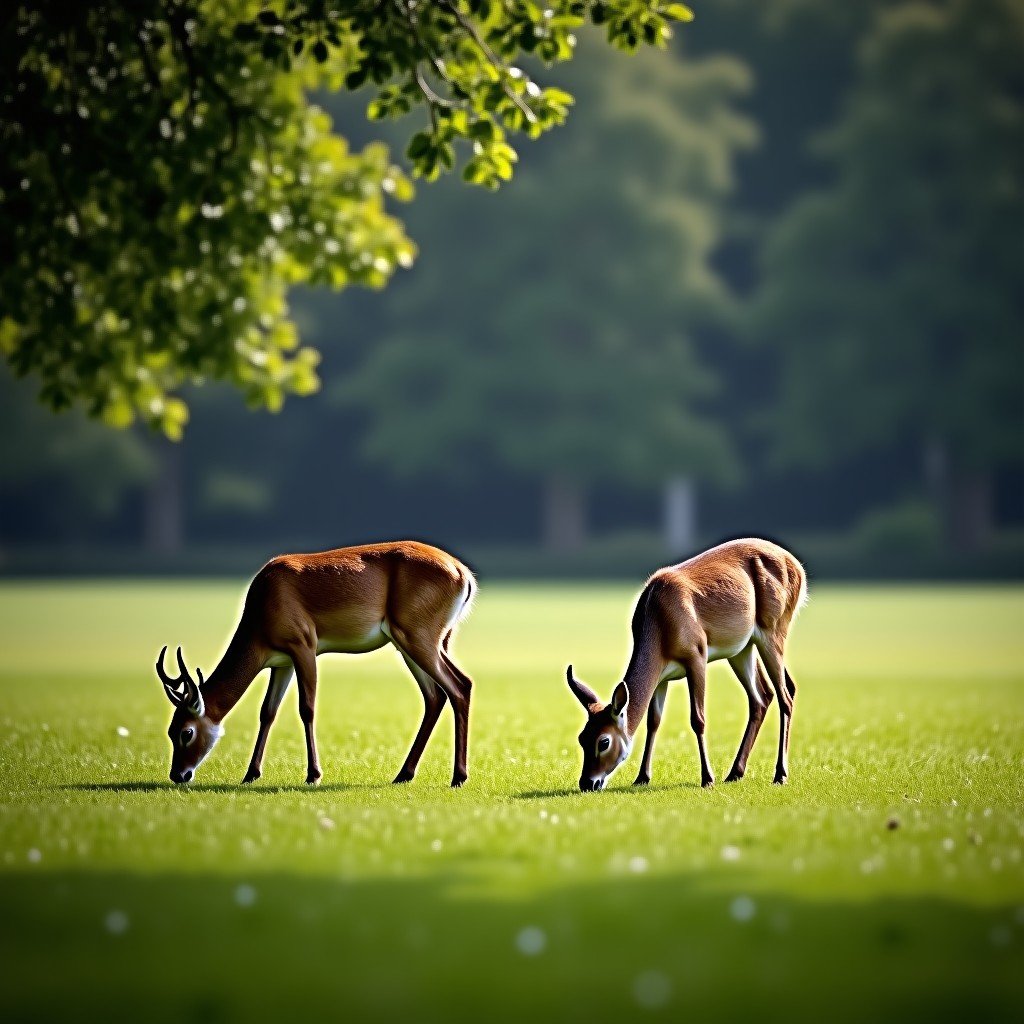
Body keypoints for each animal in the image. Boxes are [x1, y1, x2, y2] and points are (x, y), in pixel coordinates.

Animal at [156, 541, 476, 788]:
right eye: (170, 731)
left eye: (187, 732)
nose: (178, 775)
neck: (265, 600)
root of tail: (461, 571)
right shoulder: (281, 663)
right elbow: (267, 712)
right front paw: (251, 774)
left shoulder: (304, 650)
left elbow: (306, 709)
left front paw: (313, 775)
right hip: (413, 645)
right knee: (435, 697)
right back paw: (403, 775)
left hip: (418, 641)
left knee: (460, 685)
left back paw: (458, 777)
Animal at [566, 538, 806, 792]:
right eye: (582, 737)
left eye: (604, 741)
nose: (587, 783)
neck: (660, 622)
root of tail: (797, 565)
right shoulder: (661, 676)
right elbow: (653, 722)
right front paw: (642, 777)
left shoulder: (696, 657)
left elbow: (698, 719)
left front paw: (707, 778)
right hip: (742, 649)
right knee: (763, 696)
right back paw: (735, 773)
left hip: (773, 630)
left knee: (784, 696)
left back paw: (780, 775)